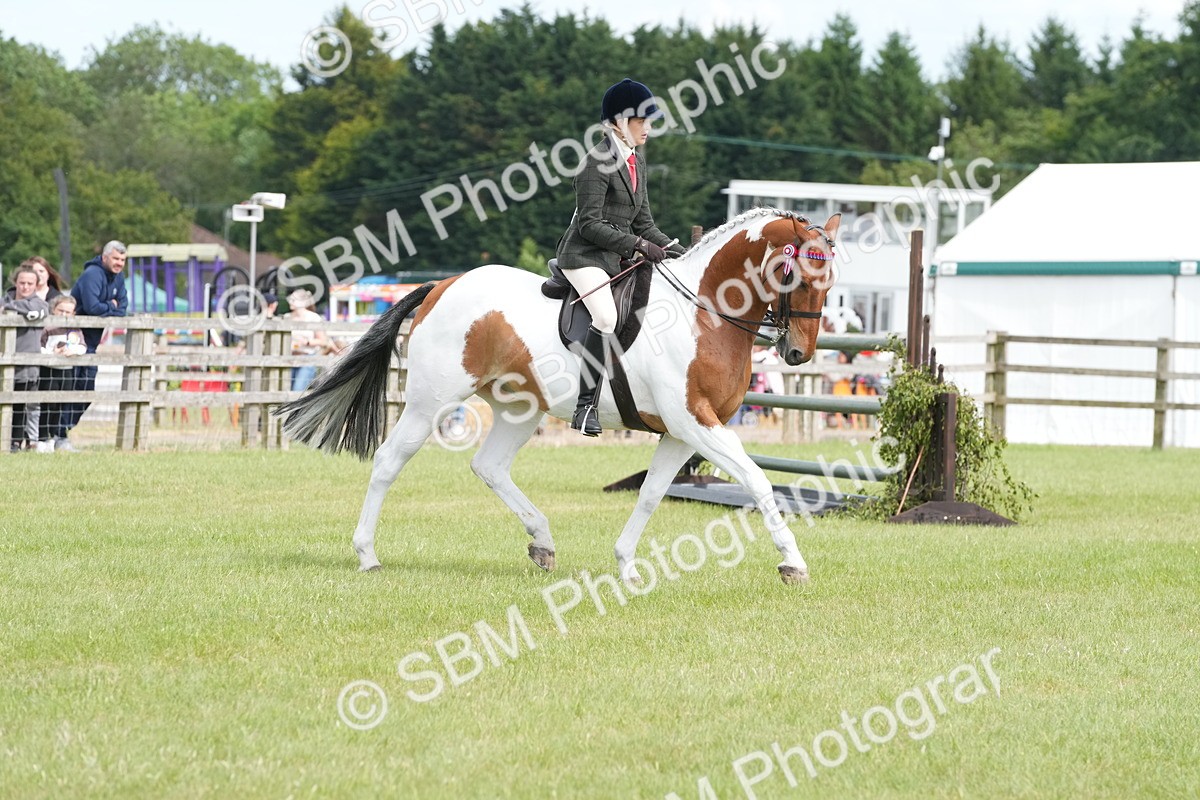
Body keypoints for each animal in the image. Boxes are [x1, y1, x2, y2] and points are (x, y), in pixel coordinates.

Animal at [278, 208, 841, 584]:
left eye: (831, 280)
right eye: (794, 272)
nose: (798, 353)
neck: (704, 311)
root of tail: (443, 284)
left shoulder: (683, 433)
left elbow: (652, 493)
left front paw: (626, 564)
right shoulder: (694, 423)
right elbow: (758, 481)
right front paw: (793, 563)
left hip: (519, 407)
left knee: (489, 467)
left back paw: (543, 542)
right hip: (428, 402)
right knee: (390, 461)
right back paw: (367, 554)